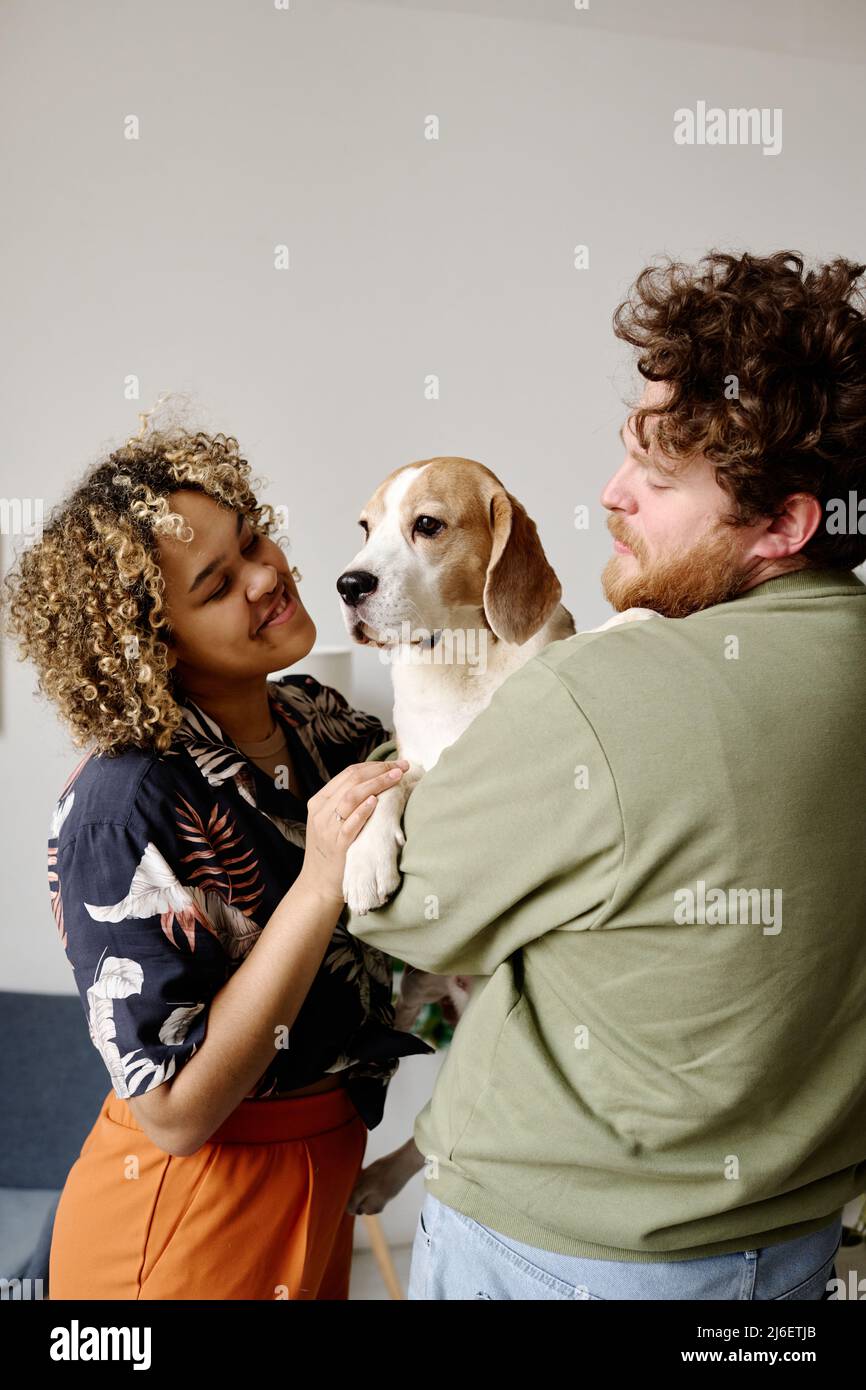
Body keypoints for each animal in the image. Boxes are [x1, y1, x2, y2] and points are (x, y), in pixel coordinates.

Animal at [339, 458, 656, 1217]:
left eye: (427, 525)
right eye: (365, 528)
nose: (348, 585)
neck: (462, 662)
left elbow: (591, 639)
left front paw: (635, 616)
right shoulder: (416, 762)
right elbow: (388, 782)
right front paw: (365, 859)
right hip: (420, 991)